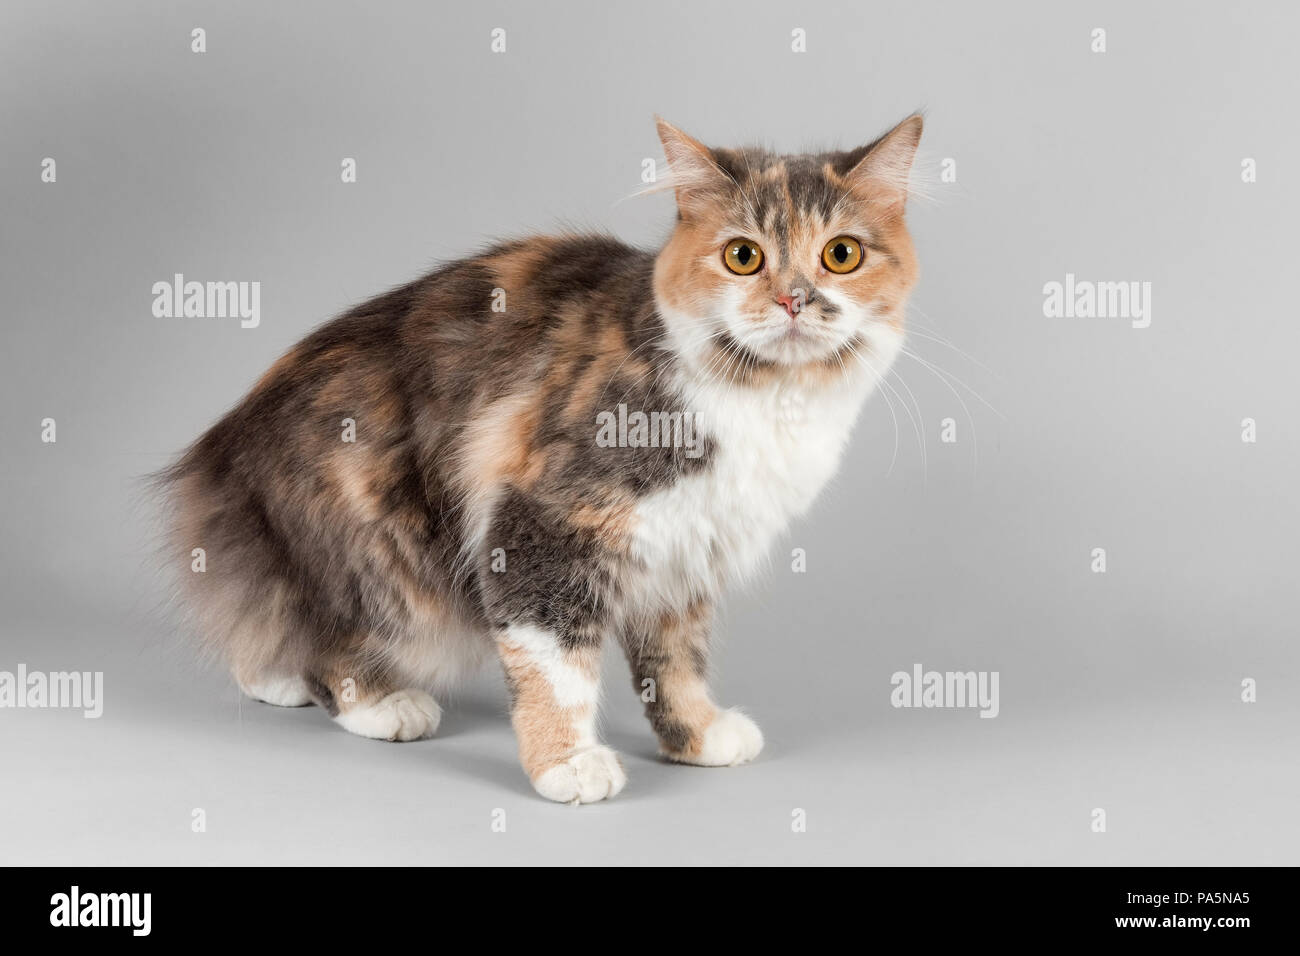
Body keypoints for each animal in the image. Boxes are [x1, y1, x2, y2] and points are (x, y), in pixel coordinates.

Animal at [162, 111, 925, 806]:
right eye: (744, 256)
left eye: (841, 255)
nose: (795, 300)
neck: (770, 400)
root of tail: (224, 446)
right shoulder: (546, 523)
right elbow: (558, 669)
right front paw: (568, 765)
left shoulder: (684, 553)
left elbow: (675, 660)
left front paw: (698, 737)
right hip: (382, 553)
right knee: (327, 636)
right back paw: (381, 704)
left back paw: (273, 677)